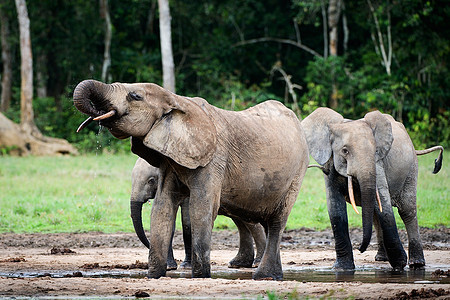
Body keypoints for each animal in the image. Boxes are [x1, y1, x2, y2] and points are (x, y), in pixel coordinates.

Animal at [129, 157, 268, 270]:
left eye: (151, 181)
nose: (149, 245)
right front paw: (169, 267)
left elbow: (187, 223)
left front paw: (185, 266)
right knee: (241, 222)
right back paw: (238, 263)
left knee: (250, 223)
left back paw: (256, 263)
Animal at [302, 107, 442, 270]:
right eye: (345, 151)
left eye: (375, 150)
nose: (360, 249)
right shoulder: (330, 165)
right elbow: (335, 208)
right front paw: (342, 268)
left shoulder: (378, 164)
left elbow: (384, 205)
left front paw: (399, 265)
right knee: (376, 213)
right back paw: (381, 258)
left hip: (411, 168)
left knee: (407, 210)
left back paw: (416, 263)